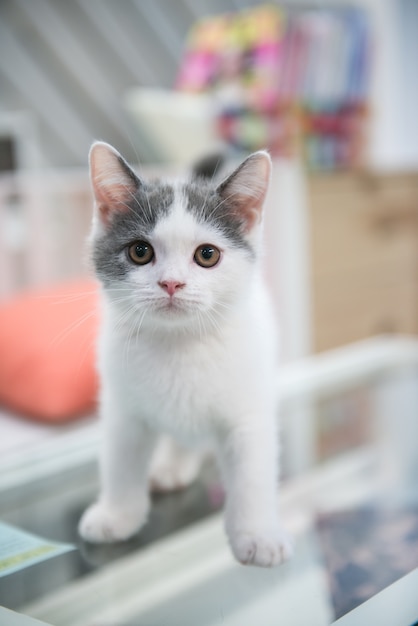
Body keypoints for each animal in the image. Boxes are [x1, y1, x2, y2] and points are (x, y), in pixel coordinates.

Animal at [79, 141, 294, 564]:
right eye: (140, 251)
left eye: (207, 254)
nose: (171, 283)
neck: (179, 341)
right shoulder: (122, 408)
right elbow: (120, 462)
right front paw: (117, 515)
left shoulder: (249, 412)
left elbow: (253, 474)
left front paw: (257, 533)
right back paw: (173, 465)